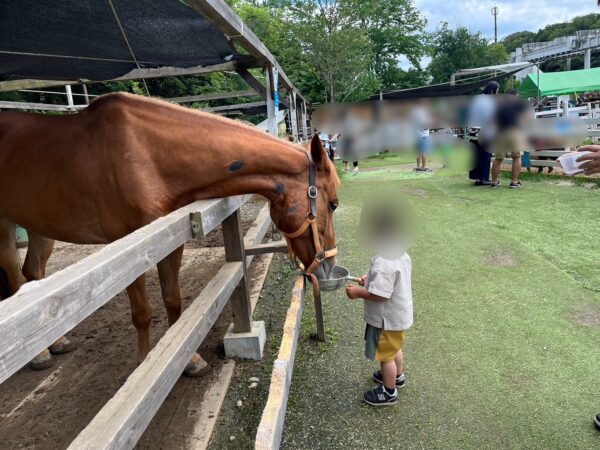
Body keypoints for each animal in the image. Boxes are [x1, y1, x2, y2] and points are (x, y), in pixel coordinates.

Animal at [0, 91, 338, 372]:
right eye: (333, 204)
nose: (329, 266)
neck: (147, 155)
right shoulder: (130, 251)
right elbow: (142, 312)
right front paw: (143, 362)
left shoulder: (171, 242)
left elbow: (173, 300)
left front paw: (190, 359)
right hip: (5, 227)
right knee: (16, 280)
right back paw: (39, 355)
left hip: (41, 225)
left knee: (33, 273)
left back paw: (56, 343)